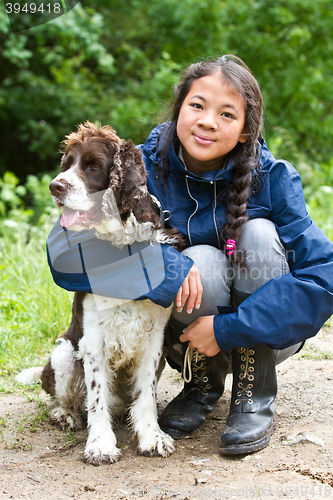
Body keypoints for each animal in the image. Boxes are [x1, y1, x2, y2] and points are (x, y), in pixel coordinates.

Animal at [20, 123, 182, 466]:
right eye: (67, 164)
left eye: (93, 165)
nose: (55, 186)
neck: (121, 246)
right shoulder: (93, 339)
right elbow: (96, 397)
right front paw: (100, 445)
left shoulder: (154, 337)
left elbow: (146, 393)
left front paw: (151, 437)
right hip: (64, 353)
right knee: (63, 397)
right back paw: (65, 416)